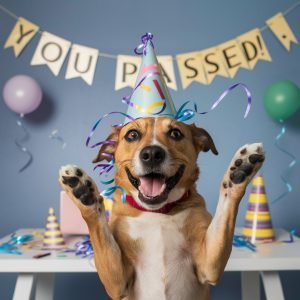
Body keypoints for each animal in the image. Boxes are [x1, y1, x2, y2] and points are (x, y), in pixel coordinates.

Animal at [59, 116, 264, 300]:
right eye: (132, 134)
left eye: (175, 133)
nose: (151, 154)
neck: (157, 212)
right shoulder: (117, 283)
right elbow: (98, 230)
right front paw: (83, 192)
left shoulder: (209, 265)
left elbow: (227, 205)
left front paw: (240, 171)